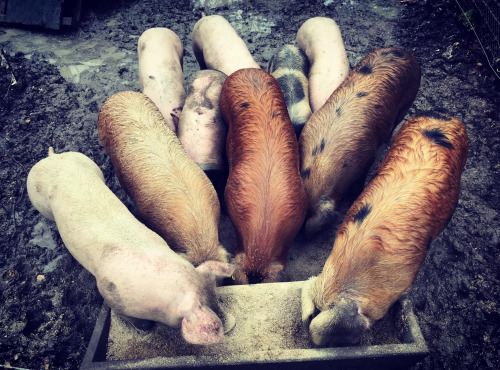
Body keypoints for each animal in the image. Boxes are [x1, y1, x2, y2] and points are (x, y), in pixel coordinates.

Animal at [26, 147, 236, 344]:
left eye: (216, 297)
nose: (229, 325)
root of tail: (53, 156)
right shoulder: (109, 293)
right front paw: (146, 328)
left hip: (89, 164)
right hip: (36, 196)